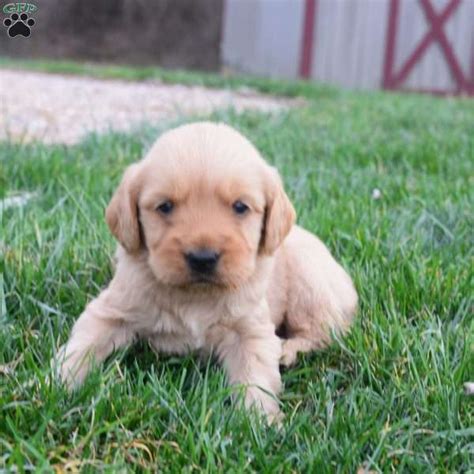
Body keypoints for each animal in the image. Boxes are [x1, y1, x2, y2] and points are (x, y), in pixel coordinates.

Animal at [56, 120, 356, 420]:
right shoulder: (112, 310)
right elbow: (83, 345)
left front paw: (260, 421)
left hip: (308, 280)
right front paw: (57, 383)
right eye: (165, 206)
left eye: (240, 206)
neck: (196, 295)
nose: (202, 258)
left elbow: (256, 377)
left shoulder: (250, 329)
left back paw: (289, 349)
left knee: (327, 331)